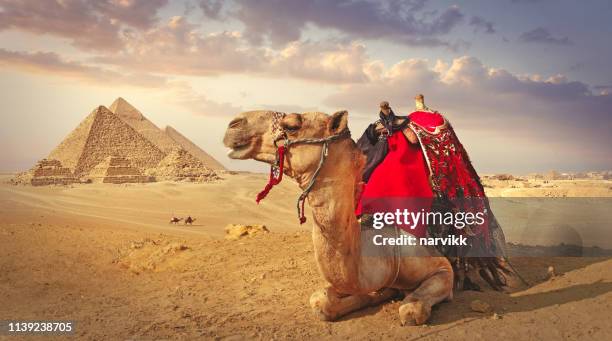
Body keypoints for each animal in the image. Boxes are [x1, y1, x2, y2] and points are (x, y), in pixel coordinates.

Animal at [225, 109, 454, 324]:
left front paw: (407, 305)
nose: (234, 124)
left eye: (291, 125)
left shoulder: (442, 268)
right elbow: (320, 300)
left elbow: (412, 308)